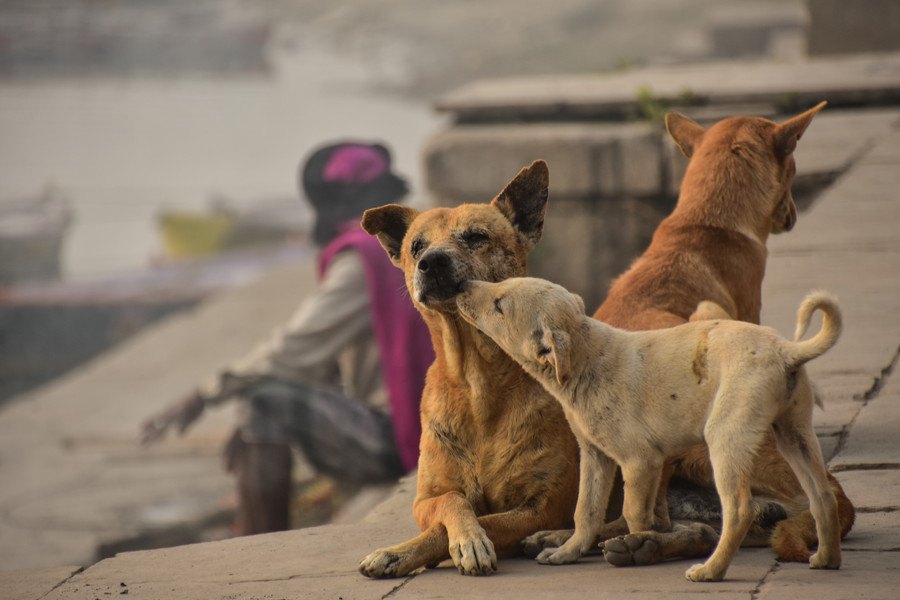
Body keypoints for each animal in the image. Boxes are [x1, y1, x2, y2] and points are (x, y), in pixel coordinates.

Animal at [356, 159, 576, 576]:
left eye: (476, 236)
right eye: (416, 247)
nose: (431, 262)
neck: (476, 382)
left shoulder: (539, 507)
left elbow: (482, 522)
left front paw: (470, 543)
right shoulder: (424, 501)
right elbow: (451, 501)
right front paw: (398, 551)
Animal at [458, 278, 844, 584]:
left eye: (499, 304)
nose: (460, 285)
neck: (586, 358)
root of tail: (786, 349)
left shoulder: (640, 461)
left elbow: (634, 514)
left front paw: (639, 546)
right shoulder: (596, 457)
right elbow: (587, 510)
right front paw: (569, 551)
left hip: (726, 437)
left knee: (740, 511)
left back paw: (710, 570)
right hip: (794, 435)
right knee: (822, 497)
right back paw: (827, 559)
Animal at [524, 101, 856, 564]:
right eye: (793, 167)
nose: (791, 217)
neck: (703, 220)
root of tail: (837, 485)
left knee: (697, 522)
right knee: (671, 520)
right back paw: (630, 544)